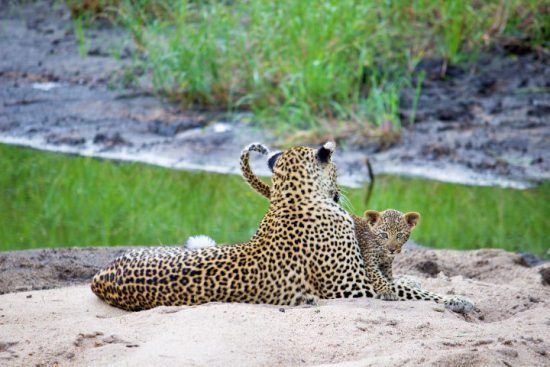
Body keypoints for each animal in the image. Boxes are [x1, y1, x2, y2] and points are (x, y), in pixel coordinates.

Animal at [239, 144, 476, 314]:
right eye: (336, 171)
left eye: (400, 235)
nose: (340, 189)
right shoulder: (355, 284)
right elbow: (407, 291)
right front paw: (458, 300)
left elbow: (399, 283)